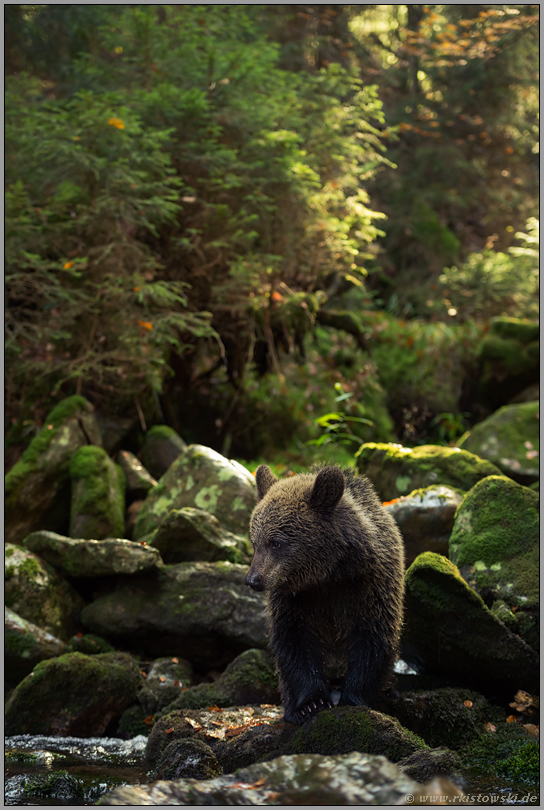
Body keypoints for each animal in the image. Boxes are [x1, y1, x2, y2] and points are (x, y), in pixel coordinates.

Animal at [246, 464, 404, 724]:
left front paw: (354, 699)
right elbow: (294, 643)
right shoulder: (294, 600)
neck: (327, 575)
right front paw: (310, 704)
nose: (252, 580)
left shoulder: (368, 588)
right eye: (254, 542)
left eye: (276, 542)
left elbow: (373, 639)